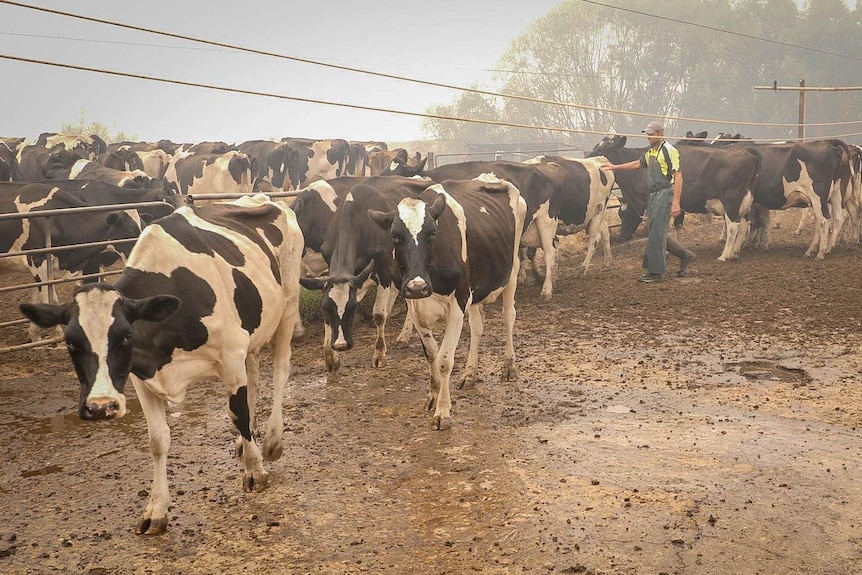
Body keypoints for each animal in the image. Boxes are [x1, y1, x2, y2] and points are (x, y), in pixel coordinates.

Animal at [18, 196, 306, 536]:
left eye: (126, 335)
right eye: (71, 342)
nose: (101, 406)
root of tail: (262, 199)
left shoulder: (230, 355)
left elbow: (238, 413)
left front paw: (255, 471)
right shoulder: (142, 376)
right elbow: (158, 440)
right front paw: (156, 510)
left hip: (287, 305)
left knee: (280, 371)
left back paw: (272, 440)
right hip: (254, 332)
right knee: (255, 376)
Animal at [298, 178, 432, 372]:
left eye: (352, 308)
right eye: (325, 308)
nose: (341, 345)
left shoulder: (383, 268)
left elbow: (379, 314)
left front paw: (379, 355)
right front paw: (331, 357)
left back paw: (404, 336)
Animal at [366, 178, 524, 430]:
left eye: (432, 233)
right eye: (395, 236)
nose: (417, 286)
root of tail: (491, 179)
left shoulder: (457, 304)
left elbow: (444, 360)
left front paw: (443, 411)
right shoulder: (415, 305)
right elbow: (431, 354)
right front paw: (433, 394)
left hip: (512, 271)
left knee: (509, 316)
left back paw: (509, 366)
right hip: (475, 289)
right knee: (477, 326)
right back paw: (469, 374)